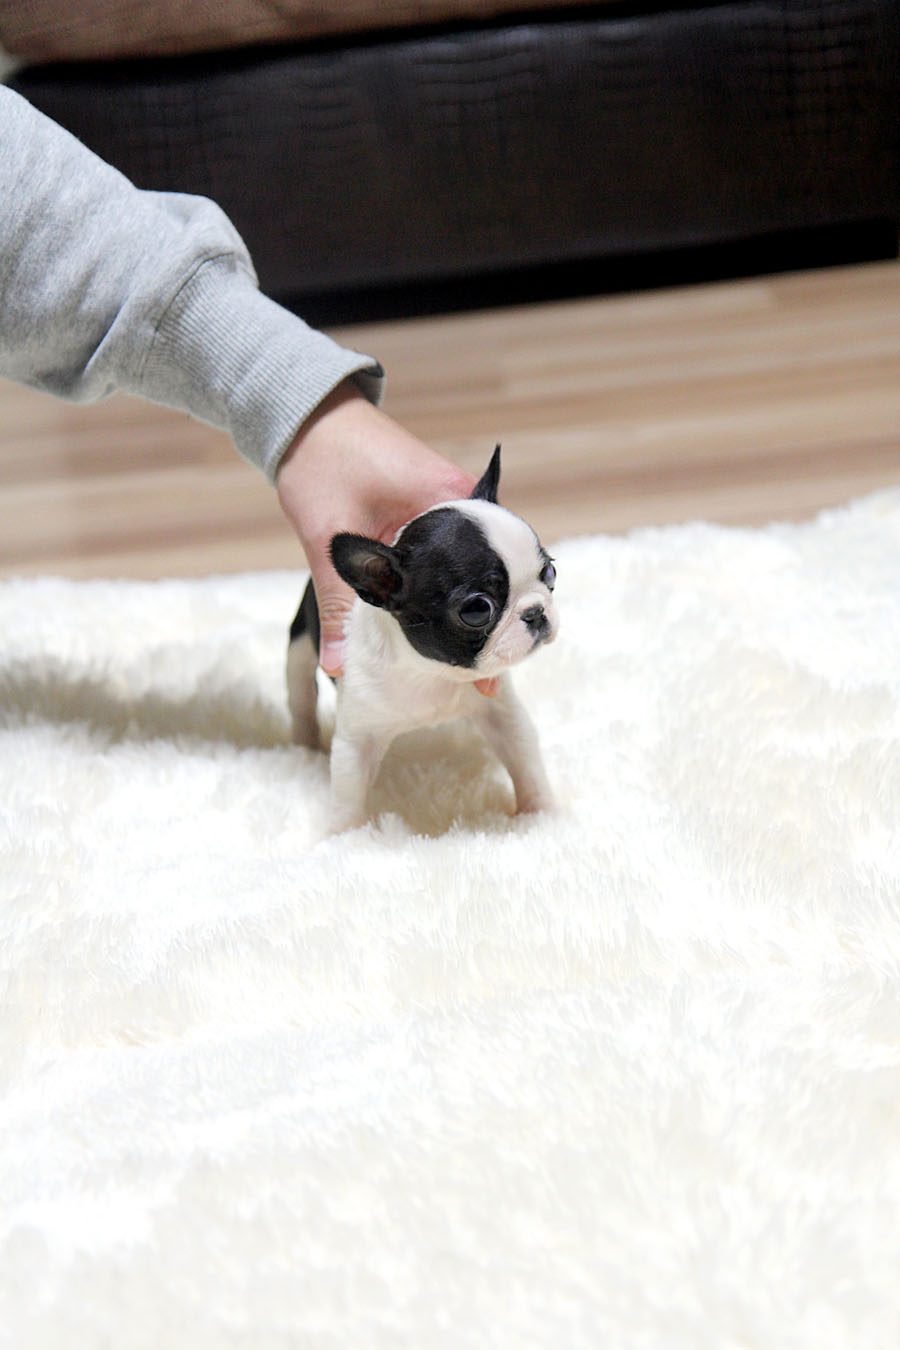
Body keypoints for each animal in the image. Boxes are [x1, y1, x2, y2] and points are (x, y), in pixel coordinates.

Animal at [287, 445, 555, 831]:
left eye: (549, 572)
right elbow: (348, 791)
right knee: (300, 695)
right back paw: (305, 745)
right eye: (478, 609)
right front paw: (344, 834)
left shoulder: (501, 712)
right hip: (301, 643)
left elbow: (525, 759)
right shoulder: (358, 738)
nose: (535, 612)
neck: (431, 673)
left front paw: (543, 812)